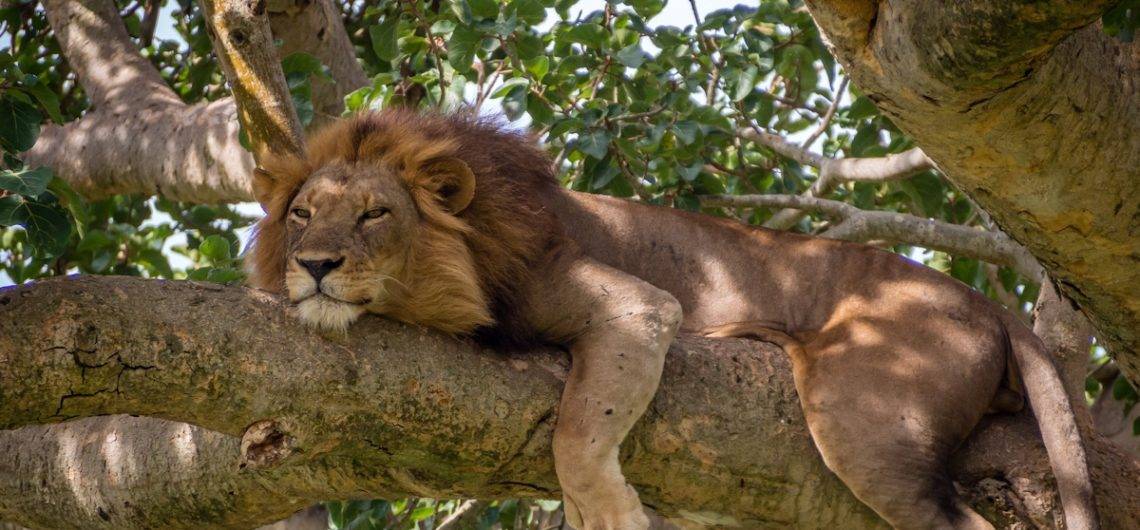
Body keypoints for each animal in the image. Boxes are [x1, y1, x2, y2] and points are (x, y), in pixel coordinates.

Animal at [248, 109, 1098, 530]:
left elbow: (578, 431)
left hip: (866, 417)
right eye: (302, 215)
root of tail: (991, 305)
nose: (315, 265)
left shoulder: (639, 304)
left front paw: (607, 513)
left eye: (374, 214)